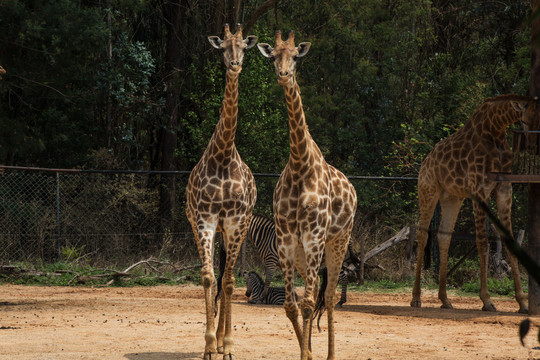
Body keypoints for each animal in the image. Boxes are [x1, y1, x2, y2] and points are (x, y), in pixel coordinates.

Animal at [258, 31, 356, 360]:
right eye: (273, 56)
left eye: (296, 57)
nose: (283, 75)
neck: (300, 164)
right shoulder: (288, 238)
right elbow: (293, 305)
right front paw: (306, 352)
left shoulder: (314, 235)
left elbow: (311, 302)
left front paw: (310, 354)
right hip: (304, 253)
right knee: (311, 296)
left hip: (337, 242)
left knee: (329, 294)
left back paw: (330, 355)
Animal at [412, 94, 536, 314]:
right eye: (529, 118)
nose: (532, 145)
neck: (496, 128)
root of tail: (425, 160)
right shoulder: (480, 190)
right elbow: (482, 242)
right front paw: (487, 300)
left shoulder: (504, 189)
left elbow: (510, 241)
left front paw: (522, 302)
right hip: (428, 191)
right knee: (423, 235)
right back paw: (416, 298)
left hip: (451, 197)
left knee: (444, 236)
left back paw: (445, 299)